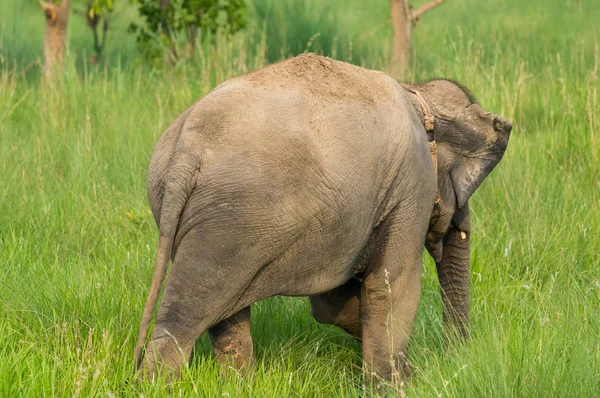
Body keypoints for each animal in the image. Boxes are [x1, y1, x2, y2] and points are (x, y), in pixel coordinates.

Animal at [132, 52, 510, 382]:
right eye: (462, 187)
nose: (453, 357)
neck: (417, 92)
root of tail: (187, 146)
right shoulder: (411, 183)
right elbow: (391, 285)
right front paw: (397, 383)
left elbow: (332, 303)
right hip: (228, 222)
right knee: (184, 317)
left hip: (199, 216)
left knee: (224, 312)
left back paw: (238, 385)